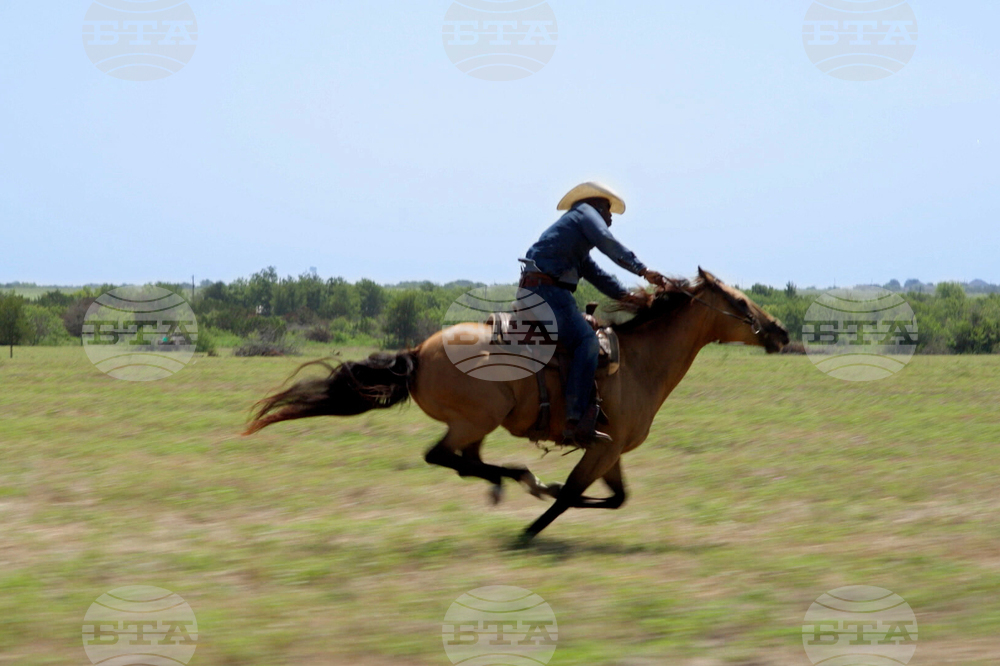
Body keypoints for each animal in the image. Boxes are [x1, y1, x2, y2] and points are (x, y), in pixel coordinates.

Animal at [245, 268, 790, 541]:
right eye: (741, 303)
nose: (781, 331)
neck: (638, 362)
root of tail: (417, 353)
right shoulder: (603, 446)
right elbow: (571, 495)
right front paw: (532, 526)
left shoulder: (611, 451)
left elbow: (614, 498)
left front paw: (542, 496)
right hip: (475, 419)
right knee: (442, 456)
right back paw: (520, 480)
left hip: (478, 425)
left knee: (466, 461)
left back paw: (510, 482)